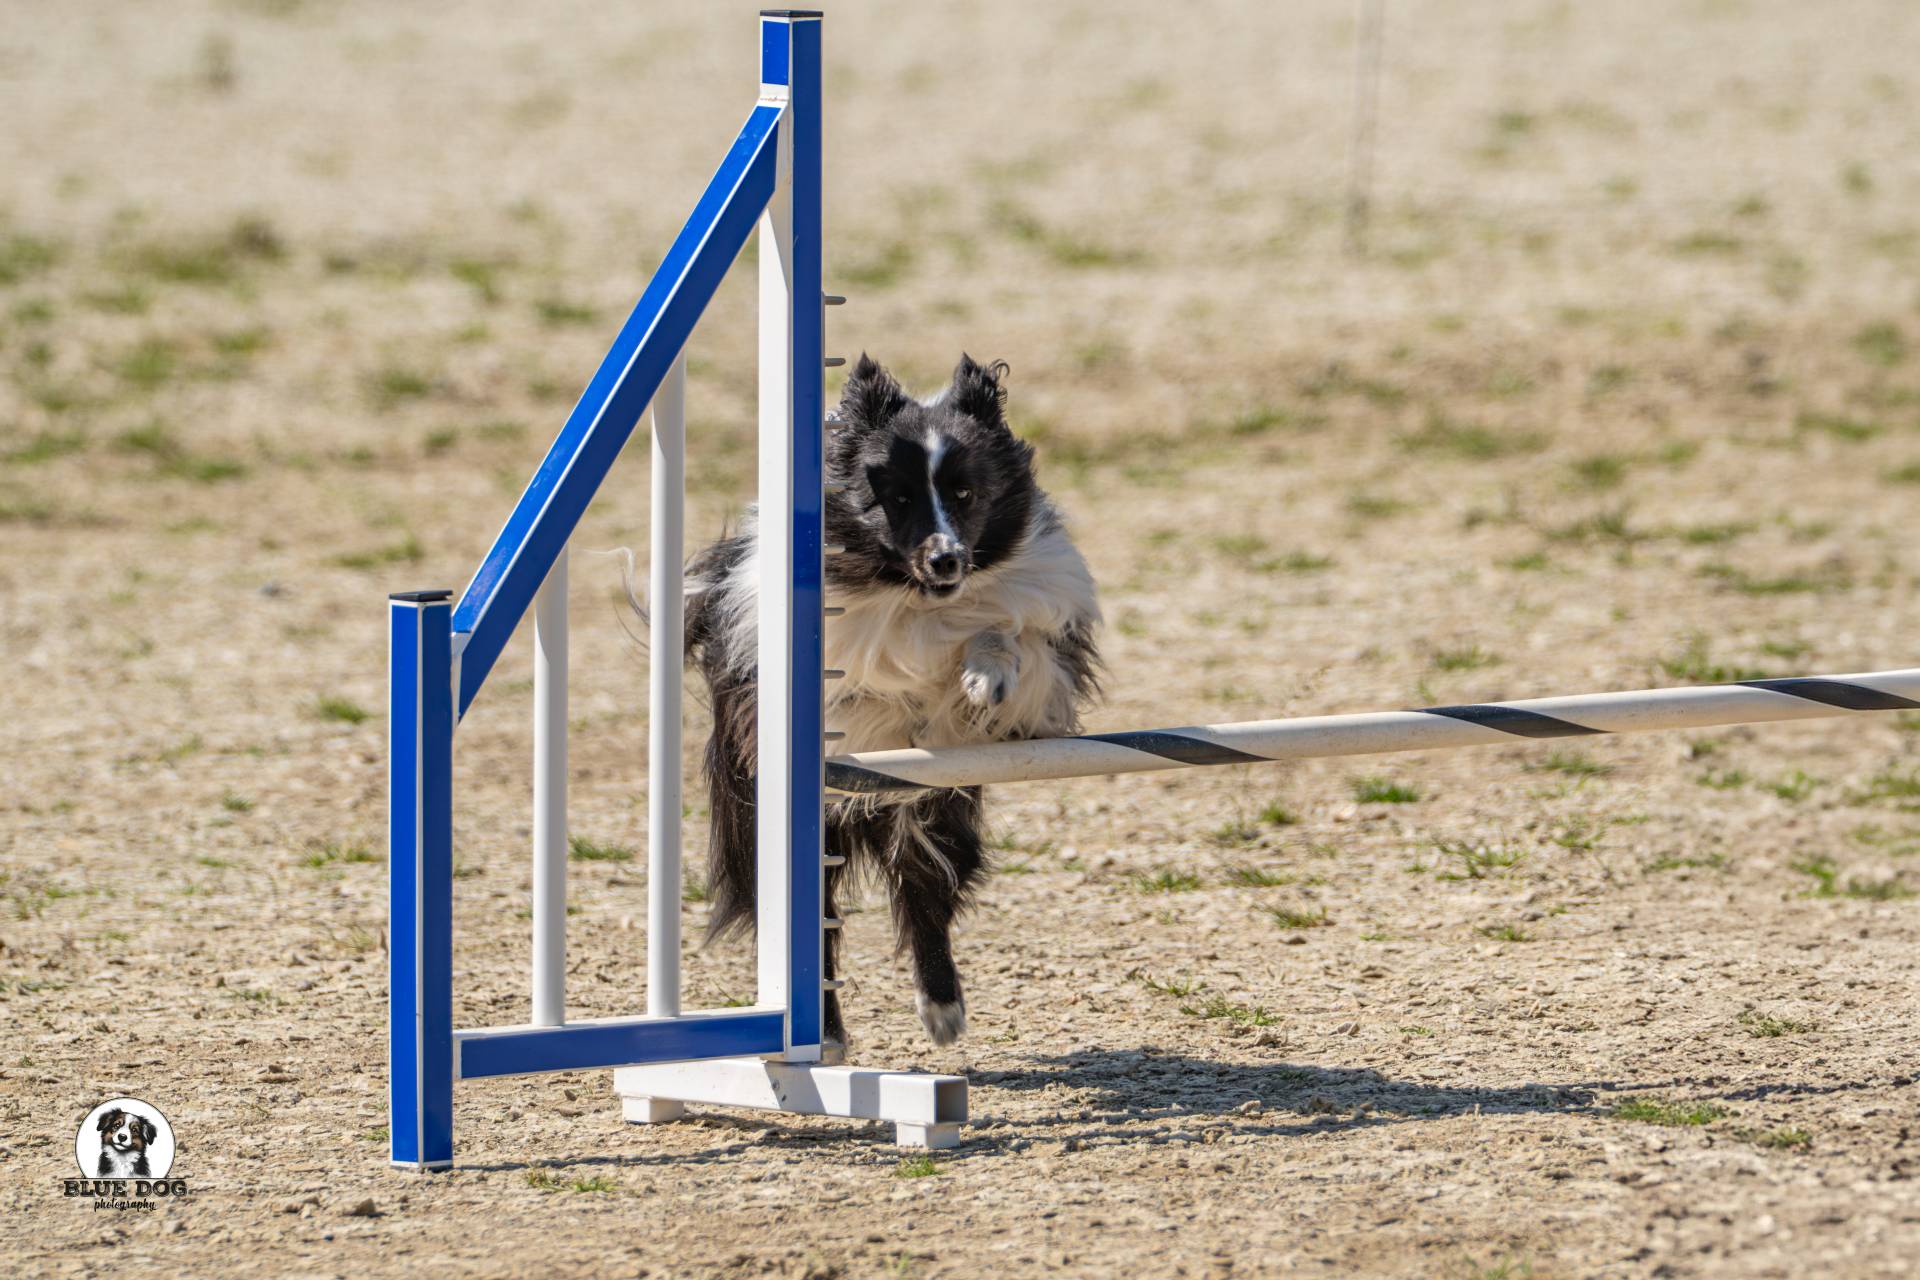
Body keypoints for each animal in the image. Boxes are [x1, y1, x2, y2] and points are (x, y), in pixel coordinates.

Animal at [684, 353, 1101, 1048]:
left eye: (965, 493)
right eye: (897, 498)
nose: (946, 559)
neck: (914, 594)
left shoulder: (1044, 643)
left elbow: (1004, 635)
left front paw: (982, 679)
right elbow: (871, 678)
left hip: (937, 810)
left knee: (924, 889)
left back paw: (943, 1010)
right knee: (817, 924)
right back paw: (824, 1033)